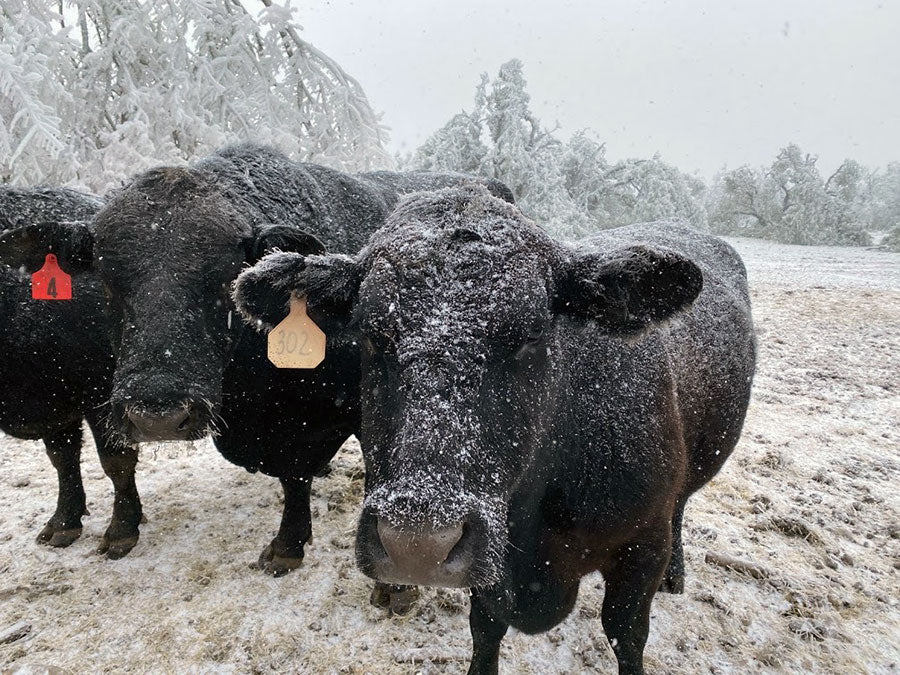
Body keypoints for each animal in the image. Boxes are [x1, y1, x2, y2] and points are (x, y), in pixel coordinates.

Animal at [0, 187, 142, 556]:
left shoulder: (101, 395)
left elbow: (116, 461)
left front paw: (122, 529)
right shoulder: (56, 405)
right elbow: (62, 461)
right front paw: (63, 523)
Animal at [236, 186, 756, 675]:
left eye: (533, 333)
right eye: (370, 332)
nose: (417, 542)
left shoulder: (641, 549)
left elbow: (626, 635)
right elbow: (484, 628)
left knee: (682, 508)